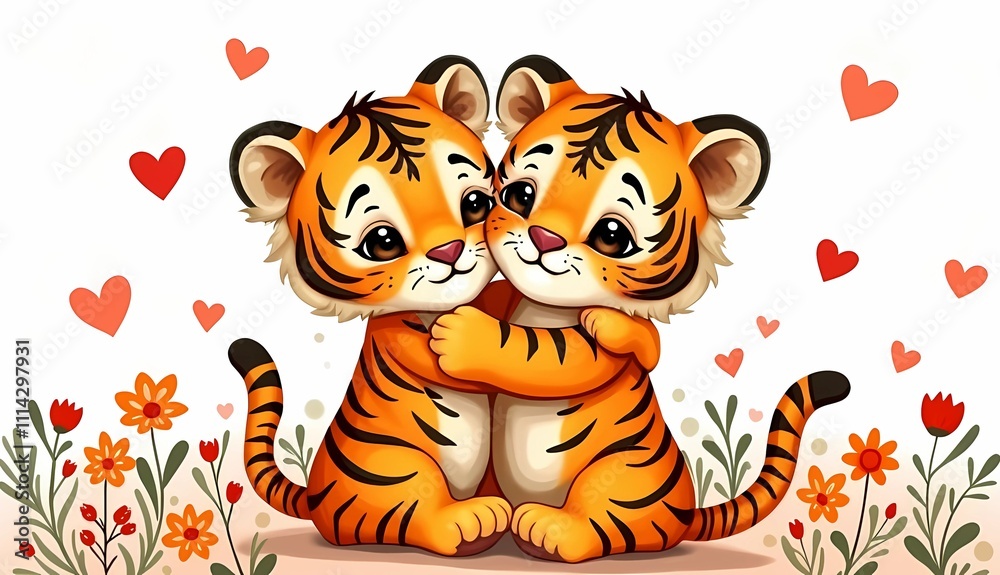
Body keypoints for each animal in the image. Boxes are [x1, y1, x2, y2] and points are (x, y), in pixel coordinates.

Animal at [225, 55, 659, 557]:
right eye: (382, 241)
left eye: (474, 203)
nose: (449, 251)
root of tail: (314, 495)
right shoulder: (397, 333)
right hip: (391, 465)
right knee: (419, 510)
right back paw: (474, 521)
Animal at [427, 55, 853, 563]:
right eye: (521, 196)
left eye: (612, 234)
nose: (543, 239)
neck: (545, 307)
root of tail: (686, 514)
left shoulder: (593, 356)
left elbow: (543, 355)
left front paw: (461, 336)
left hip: (620, 474)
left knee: (596, 524)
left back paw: (548, 530)